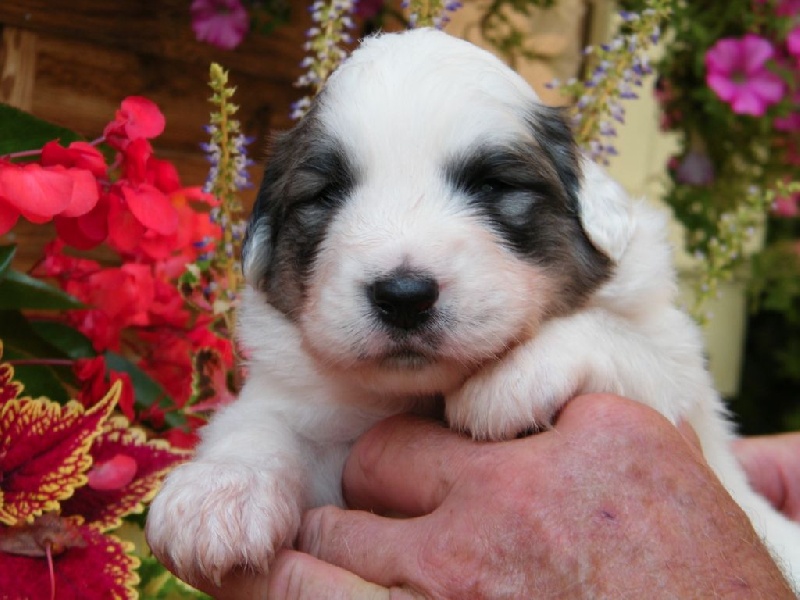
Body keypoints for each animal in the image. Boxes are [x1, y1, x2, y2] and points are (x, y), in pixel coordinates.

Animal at [145, 28, 800, 592]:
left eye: (491, 186)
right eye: (325, 196)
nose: (404, 295)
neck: (419, 394)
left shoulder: (683, 384)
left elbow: (626, 343)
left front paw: (507, 381)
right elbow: (260, 422)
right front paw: (218, 493)